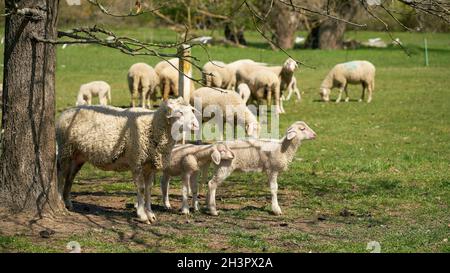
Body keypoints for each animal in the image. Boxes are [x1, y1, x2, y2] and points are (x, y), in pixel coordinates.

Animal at [55, 96, 199, 222]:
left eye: (191, 110)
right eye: (179, 112)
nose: (195, 125)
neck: (153, 127)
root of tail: (66, 112)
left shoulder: (149, 165)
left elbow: (149, 189)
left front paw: (150, 213)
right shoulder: (136, 161)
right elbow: (141, 188)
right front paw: (142, 215)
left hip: (78, 156)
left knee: (70, 177)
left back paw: (68, 202)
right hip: (65, 150)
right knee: (61, 174)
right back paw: (60, 199)